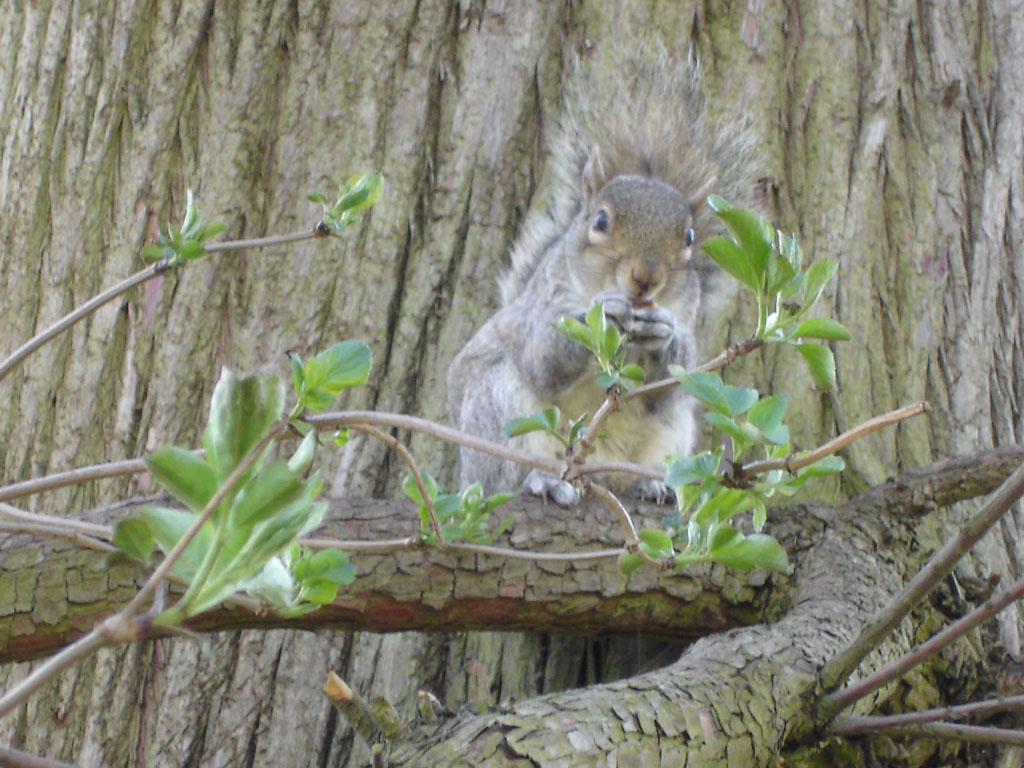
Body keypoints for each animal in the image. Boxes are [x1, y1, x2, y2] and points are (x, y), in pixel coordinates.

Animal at [446, 45, 753, 507]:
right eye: (601, 221)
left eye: (689, 238)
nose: (645, 277)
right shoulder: (542, 307)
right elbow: (543, 357)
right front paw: (603, 313)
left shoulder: (687, 329)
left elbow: (674, 379)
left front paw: (662, 332)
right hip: (500, 412)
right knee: (507, 477)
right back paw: (543, 481)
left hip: (671, 436)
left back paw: (652, 485)